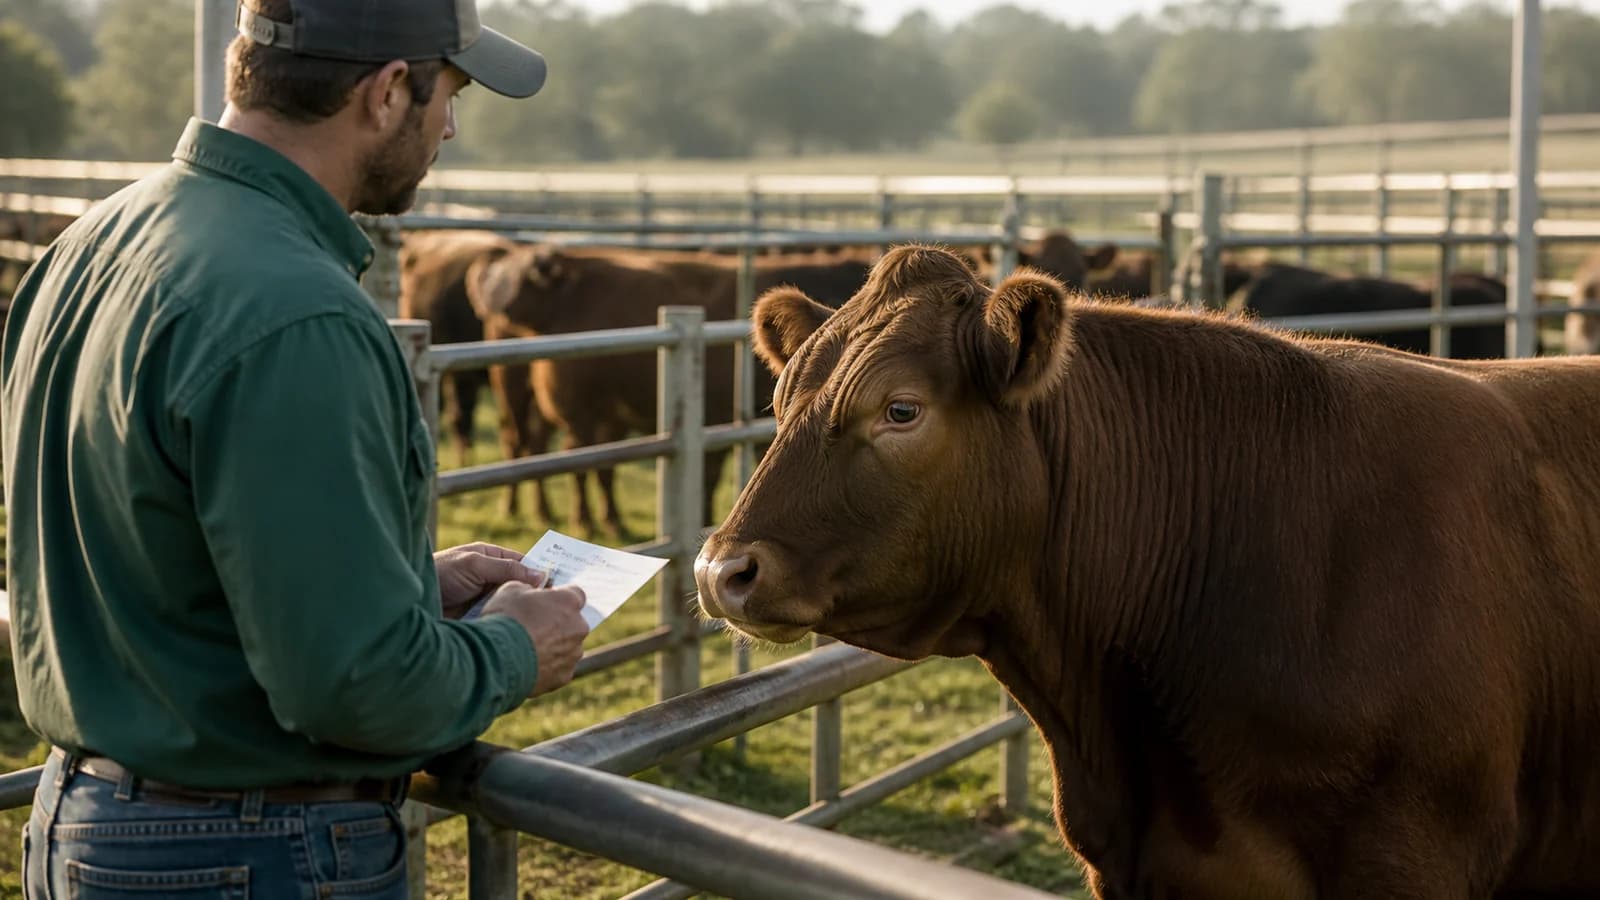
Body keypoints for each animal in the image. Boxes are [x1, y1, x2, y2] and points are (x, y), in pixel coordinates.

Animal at [467, 245, 872, 538]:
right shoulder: (715, 419)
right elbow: (708, 478)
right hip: (555, 403)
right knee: (562, 457)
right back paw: (578, 518)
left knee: (548, 450)